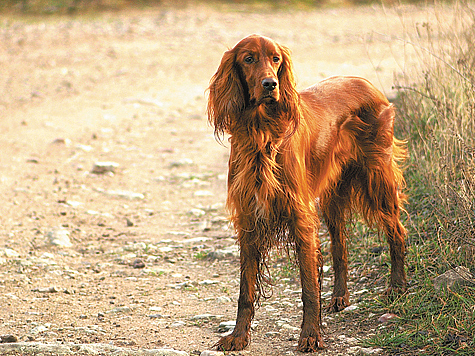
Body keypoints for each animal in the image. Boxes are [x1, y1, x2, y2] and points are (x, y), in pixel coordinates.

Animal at [206, 34, 408, 352]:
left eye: (276, 59)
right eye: (248, 59)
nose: (270, 84)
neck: (262, 132)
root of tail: (368, 84)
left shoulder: (300, 217)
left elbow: (309, 287)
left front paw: (311, 335)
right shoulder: (249, 220)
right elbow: (245, 290)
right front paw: (238, 336)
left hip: (378, 180)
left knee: (396, 232)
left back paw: (397, 287)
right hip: (332, 198)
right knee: (340, 246)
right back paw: (339, 297)